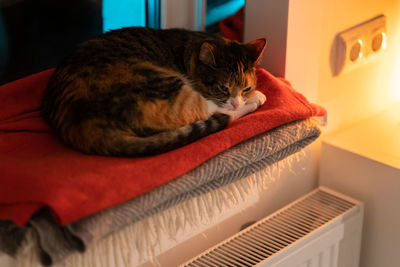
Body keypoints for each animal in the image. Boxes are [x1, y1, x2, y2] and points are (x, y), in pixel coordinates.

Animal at [40, 27, 268, 157]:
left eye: (246, 88)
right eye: (223, 88)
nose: (238, 100)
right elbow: (222, 109)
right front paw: (255, 97)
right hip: (166, 84)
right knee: (218, 114)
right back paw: (255, 102)